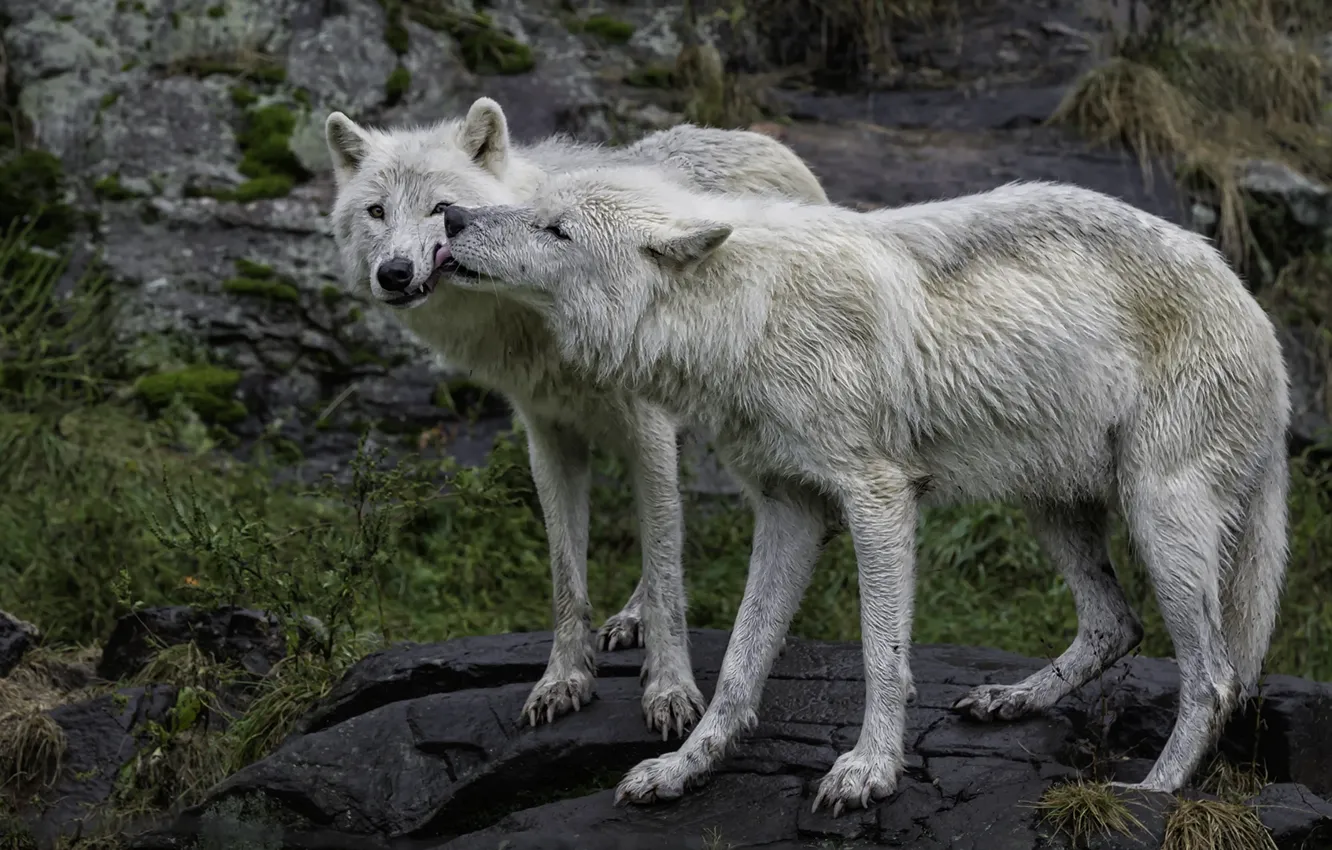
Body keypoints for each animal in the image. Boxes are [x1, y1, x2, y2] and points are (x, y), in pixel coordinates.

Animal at [323, 99, 830, 737]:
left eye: (439, 209)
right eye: (376, 211)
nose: (392, 273)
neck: (538, 321)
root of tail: (760, 140)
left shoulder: (647, 434)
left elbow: (666, 575)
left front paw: (670, 690)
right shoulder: (550, 440)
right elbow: (568, 577)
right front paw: (564, 679)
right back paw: (629, 618)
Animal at [433, 166, 1291, 815]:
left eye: (557, 230)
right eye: (527, 204)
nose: (451, 214)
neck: (749, 315)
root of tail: (1258, 313)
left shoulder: (877, 500)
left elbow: (883, 657)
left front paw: (868, 770)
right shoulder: (786, 508)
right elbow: (740, 663)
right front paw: (686, 767)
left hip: (1157, 514)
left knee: (1213, 679)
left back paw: (1151, 791)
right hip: (1050, 505)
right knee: (1116, 624)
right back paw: (1014, 701)